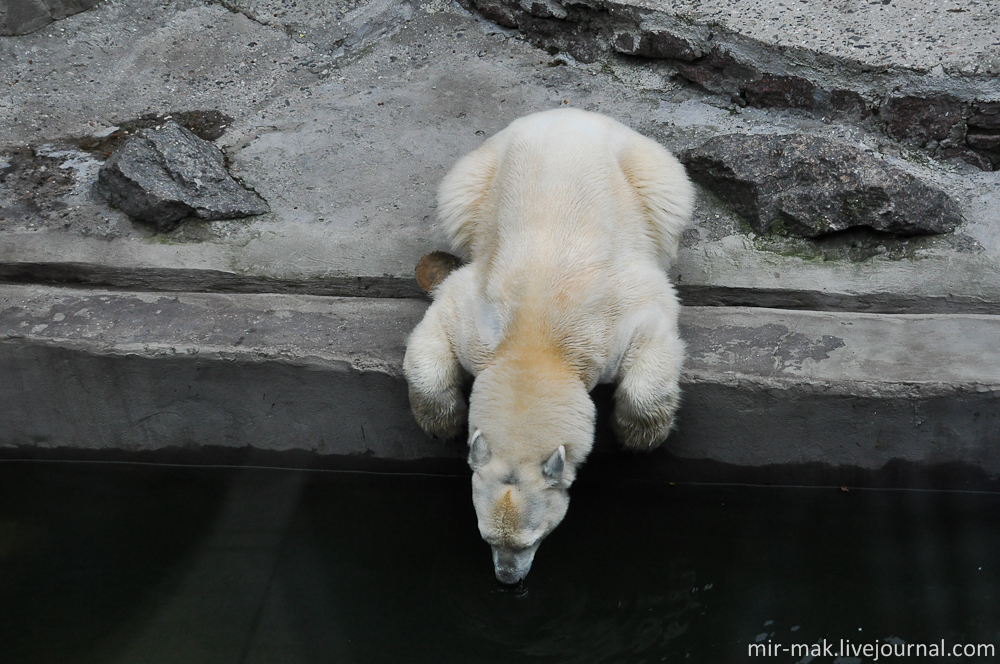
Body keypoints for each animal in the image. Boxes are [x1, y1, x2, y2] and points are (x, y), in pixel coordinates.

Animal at [402, 106, 692, 584]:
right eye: (487, 537)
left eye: (531, 540)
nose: (507, 579)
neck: (537, 337)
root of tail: (568, 111)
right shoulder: (482, 321)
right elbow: (438, 324)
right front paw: (443, 423)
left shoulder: (613, 317)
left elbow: (653, 329)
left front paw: (638, 436)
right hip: (480, 172)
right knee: (457, 200)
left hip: (644, 168)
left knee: (667, 198)